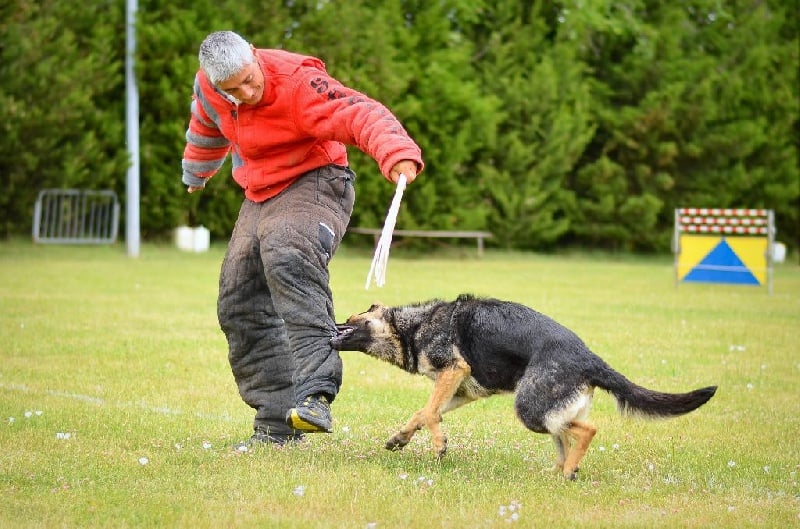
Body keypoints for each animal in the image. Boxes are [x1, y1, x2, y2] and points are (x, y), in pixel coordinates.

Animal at [328, 292, 716, 478]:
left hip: (530, 408)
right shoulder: (459, 389)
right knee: (565, 439)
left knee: (586, 430)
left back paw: (569, 470)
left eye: (349, 319)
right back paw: (558, 473)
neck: (413, 326)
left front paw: (438, 445)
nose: (328, 324)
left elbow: (430, 412)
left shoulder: (453, 371)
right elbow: (423, 412)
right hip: (546, 409)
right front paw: (401, 438)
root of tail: (590, 359)